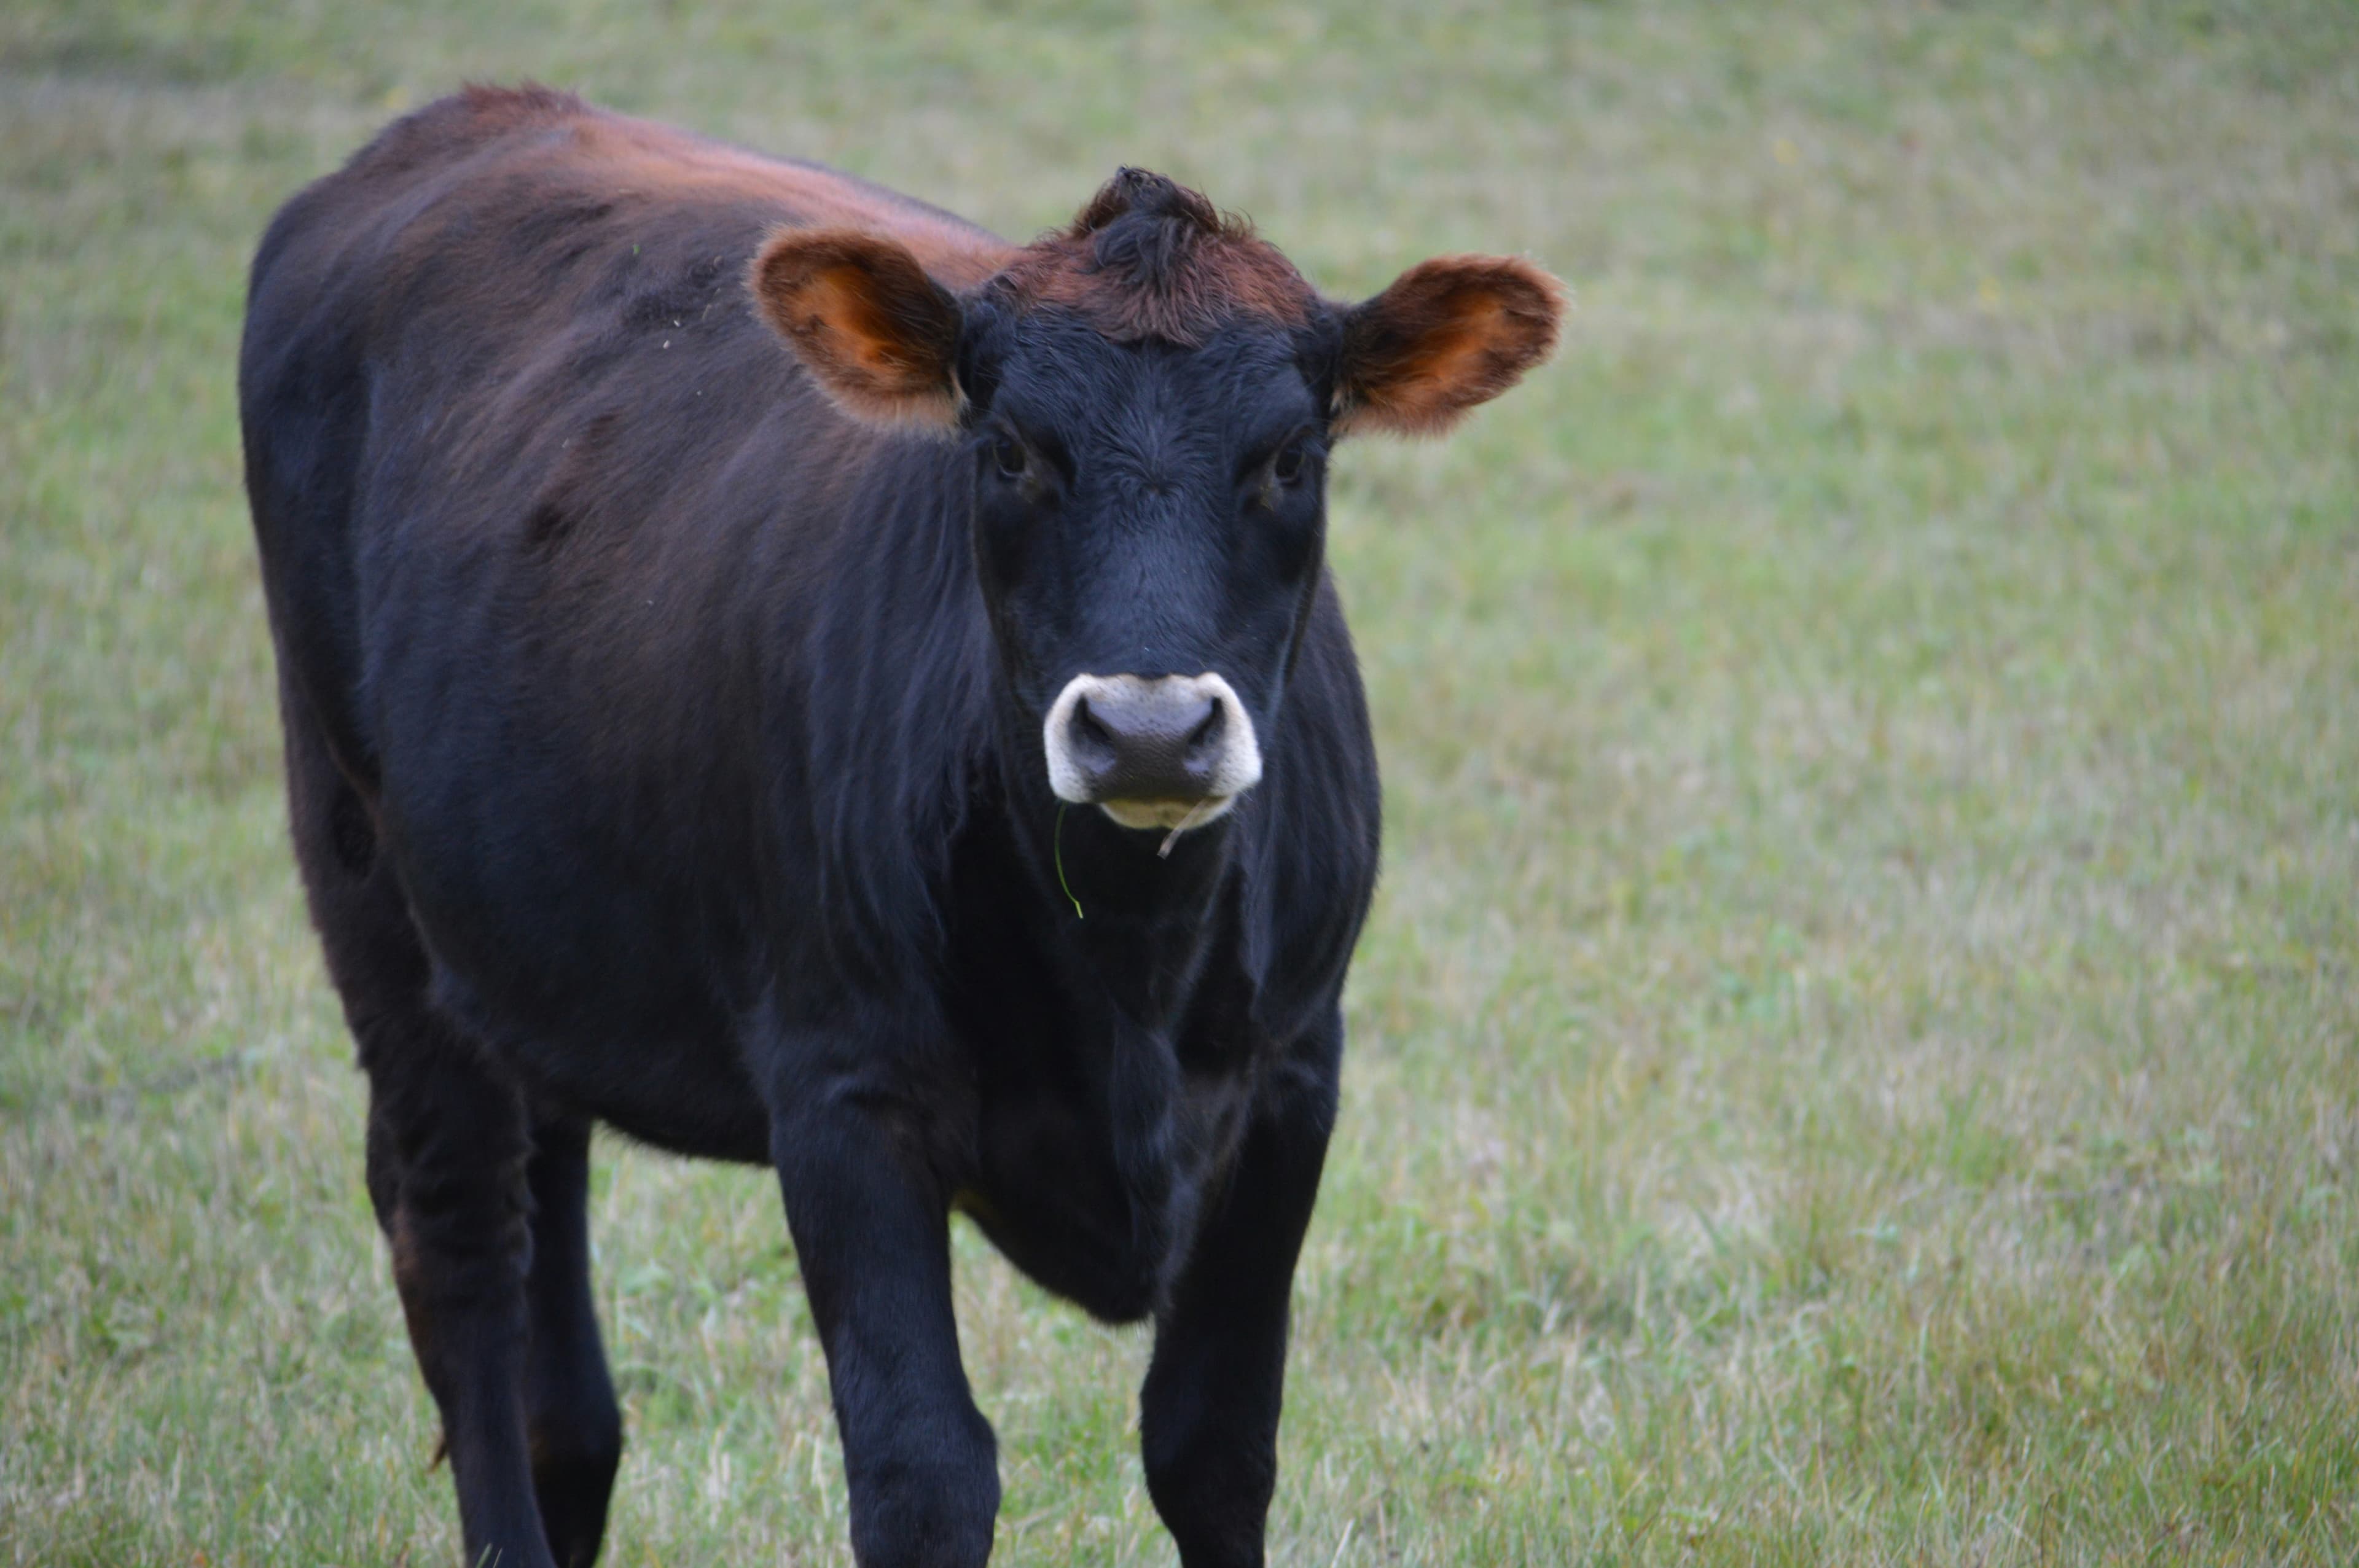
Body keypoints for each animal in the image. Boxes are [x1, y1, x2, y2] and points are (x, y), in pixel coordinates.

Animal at [238, 84, 1560, 1568]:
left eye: (1290, 456)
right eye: (1010, 452)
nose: (1148, 728)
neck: (1130, 965)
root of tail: (468, 119)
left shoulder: (1293, 1075)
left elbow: (1215, 1445)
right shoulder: (843, 1088)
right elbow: (925, 1469)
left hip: (521, 924)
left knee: (552, 1323)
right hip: (365, 882)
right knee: (462, 1254)